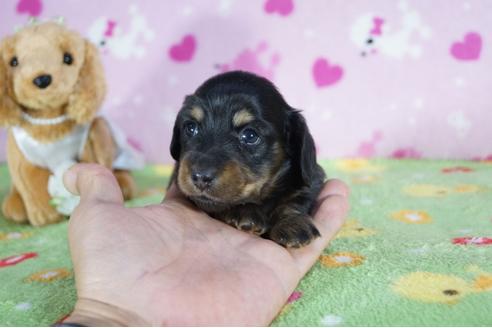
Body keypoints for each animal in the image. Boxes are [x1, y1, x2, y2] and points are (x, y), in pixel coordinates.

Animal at [170, 70, 326, 247]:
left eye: (250, 135)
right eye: (191, 128)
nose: (200, 177)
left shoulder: (311, 180)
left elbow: (296, 200)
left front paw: (293, 224)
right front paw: (244, 212)